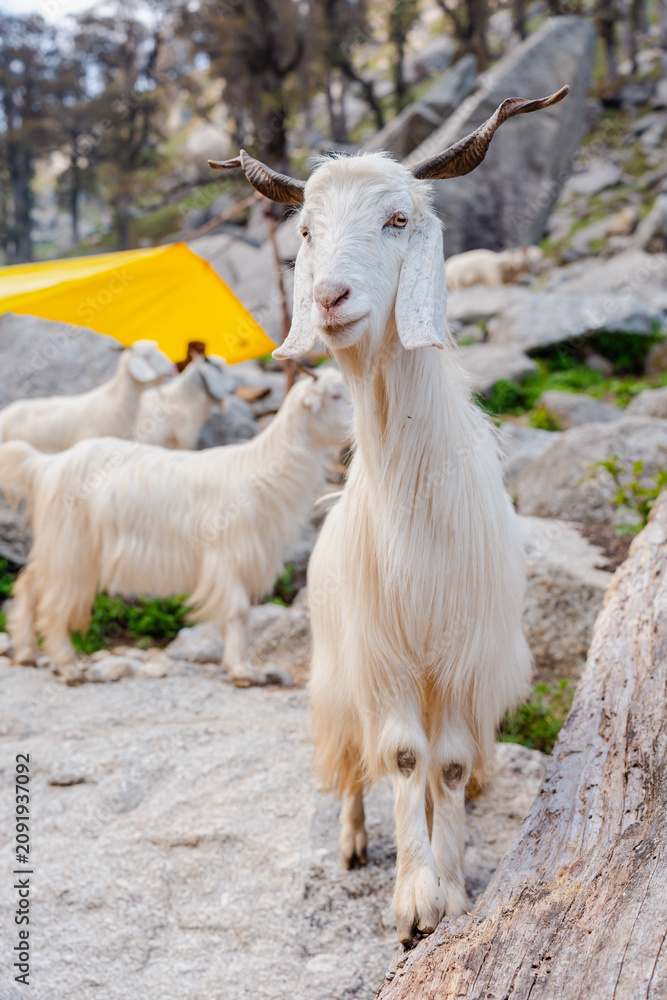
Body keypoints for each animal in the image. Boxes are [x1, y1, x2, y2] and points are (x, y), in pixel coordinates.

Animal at [0, 371, 351, 686]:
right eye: (334, 395)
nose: (353, 429)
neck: (258, 470)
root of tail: (46, 465)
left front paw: (244, 667)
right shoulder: (225, 554)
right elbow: (237, 611)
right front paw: (242, 671)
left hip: (58, 545)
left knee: (29, 582)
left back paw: (27, 652)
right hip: (70, 546)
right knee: (54, 599)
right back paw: (68, 665)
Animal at [211, 84, 568, 942]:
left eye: (396, 219)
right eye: (307, 229)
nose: (328, 299)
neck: (417, 512)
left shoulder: (468, 661)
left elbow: (447, 766)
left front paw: (454, 892)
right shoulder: (384, 659)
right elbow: (403, 758)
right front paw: (412, 902)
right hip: (338, 674)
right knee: (352, 764)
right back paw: (350, 843)